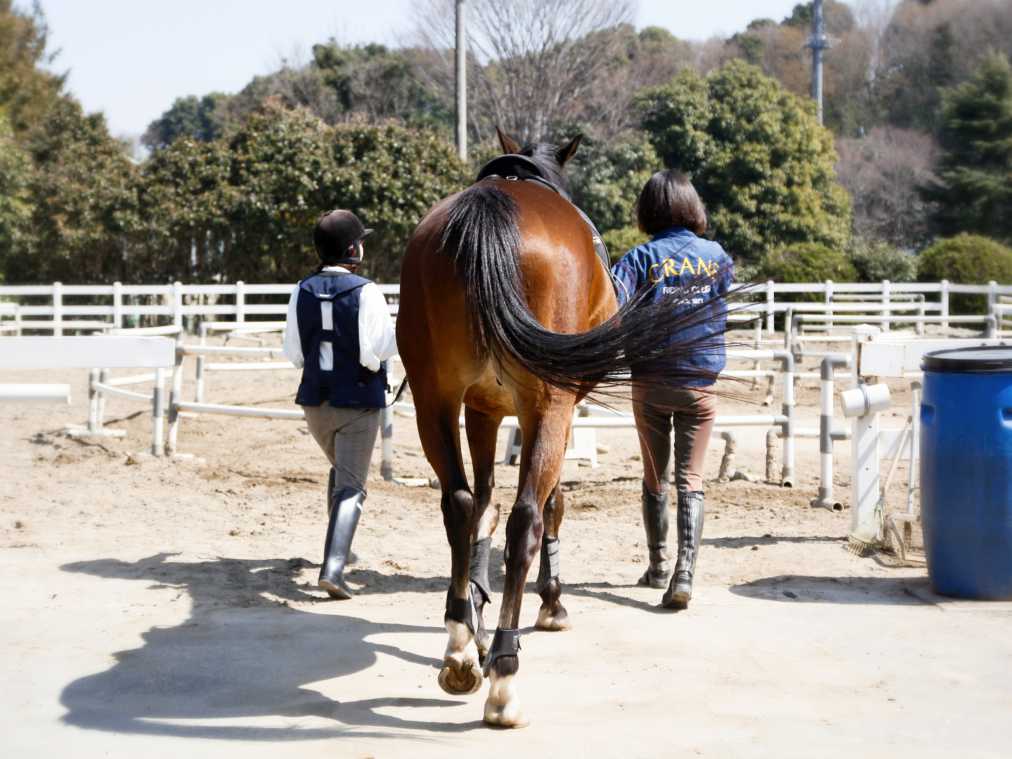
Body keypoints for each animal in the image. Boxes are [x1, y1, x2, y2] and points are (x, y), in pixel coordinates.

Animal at [396, 128, 726, 728]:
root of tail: (492, 211)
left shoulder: (482, 410)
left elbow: (482, 503)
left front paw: (475, 609)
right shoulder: (551, 409)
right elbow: (550, 504)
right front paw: (548, 602)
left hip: (435, 400)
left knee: (458, 504)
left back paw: (460, 647)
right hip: (548, 404)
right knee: (526, 517)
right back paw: (504, 676)